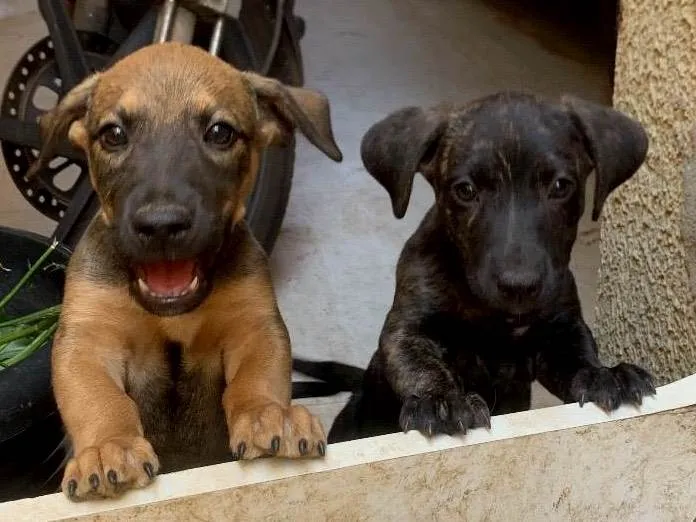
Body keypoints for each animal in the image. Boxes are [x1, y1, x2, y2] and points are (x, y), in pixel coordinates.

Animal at [32, 42, 342, 498]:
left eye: (220, 132)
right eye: (113, 135)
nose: (161, 225)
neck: (172, 314)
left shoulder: (254, 325)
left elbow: (257, 378)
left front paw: (271, 414)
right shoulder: (87, 339)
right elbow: (100, 398)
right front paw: (108, 447)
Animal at [298, 91, 652, 440]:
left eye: (560, 186)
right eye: (465, 190)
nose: (519, 286)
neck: (492, 314)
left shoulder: (560, 328)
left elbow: (577, 356)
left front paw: (604, 375)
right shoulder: (406, 328)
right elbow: (419, 363)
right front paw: (441, 400)